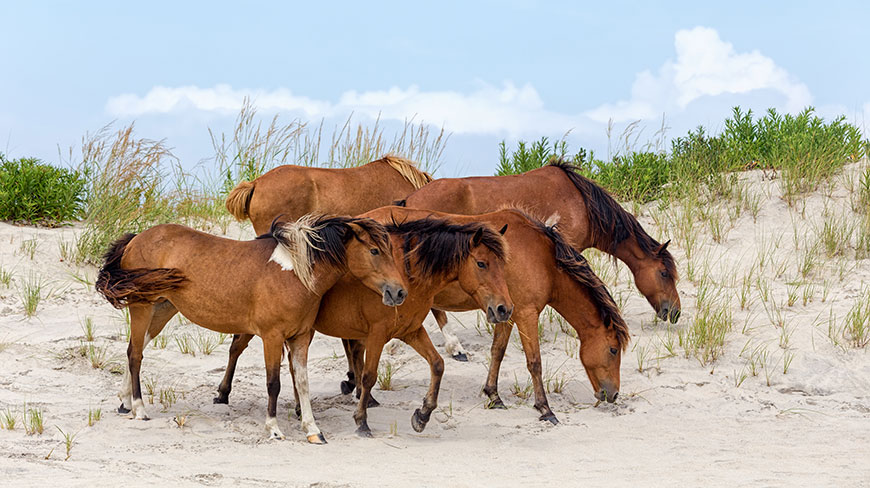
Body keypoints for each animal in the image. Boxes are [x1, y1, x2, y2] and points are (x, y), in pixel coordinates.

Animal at [95, 215, 405, 444]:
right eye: (374, 251)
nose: (399, 292)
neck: (294, 273)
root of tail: (136, 238)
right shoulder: (272, 337)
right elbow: (274, 383)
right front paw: (274, 429)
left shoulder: (301, 337)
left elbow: (302, 383)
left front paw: (313, 430)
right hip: (142, 307)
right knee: (135, 355)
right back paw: (139, 409)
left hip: (162, 308)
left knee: (134, 349)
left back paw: (124, 402)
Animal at [213, 207, 514, 437]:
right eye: (482, 264)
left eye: (503, 265)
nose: (504, 309)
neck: (408, 275)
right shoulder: (378, 334)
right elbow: (369, 376)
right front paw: (362, 421)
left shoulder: (411, 331)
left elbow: (438, 365)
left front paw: (423, 415)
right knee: (237, 347)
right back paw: (223, 394)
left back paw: (301, 408)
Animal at [340, 207, 629, 424]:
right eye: (613, 350)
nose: (613, 394)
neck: (542, 257)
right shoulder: (526, 314)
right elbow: (534, 362)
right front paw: (545, 409)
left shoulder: (506, 312)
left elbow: (497, 351)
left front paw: (493, 396)